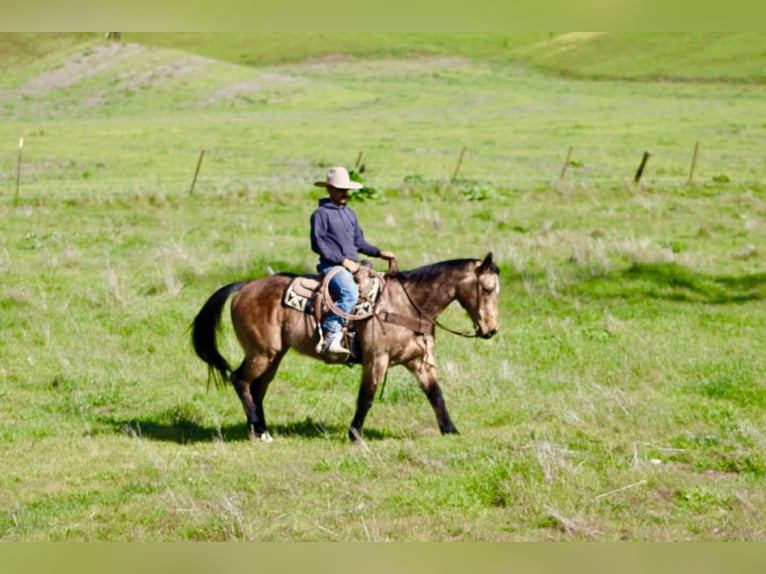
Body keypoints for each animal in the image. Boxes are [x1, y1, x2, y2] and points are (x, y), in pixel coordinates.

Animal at [190, 253, 500, 442]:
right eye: (486, 289)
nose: (491, 330)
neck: (407, 305)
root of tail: (245, 286)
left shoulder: (419, 360)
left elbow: (435, 394)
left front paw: (450, 429)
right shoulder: (377, 360)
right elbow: (366, 398)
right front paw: (355, 434)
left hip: (275, 355)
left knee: (257, 389)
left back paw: (261, 429)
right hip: (261, 353)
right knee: (239, 380)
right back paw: (257, 429)